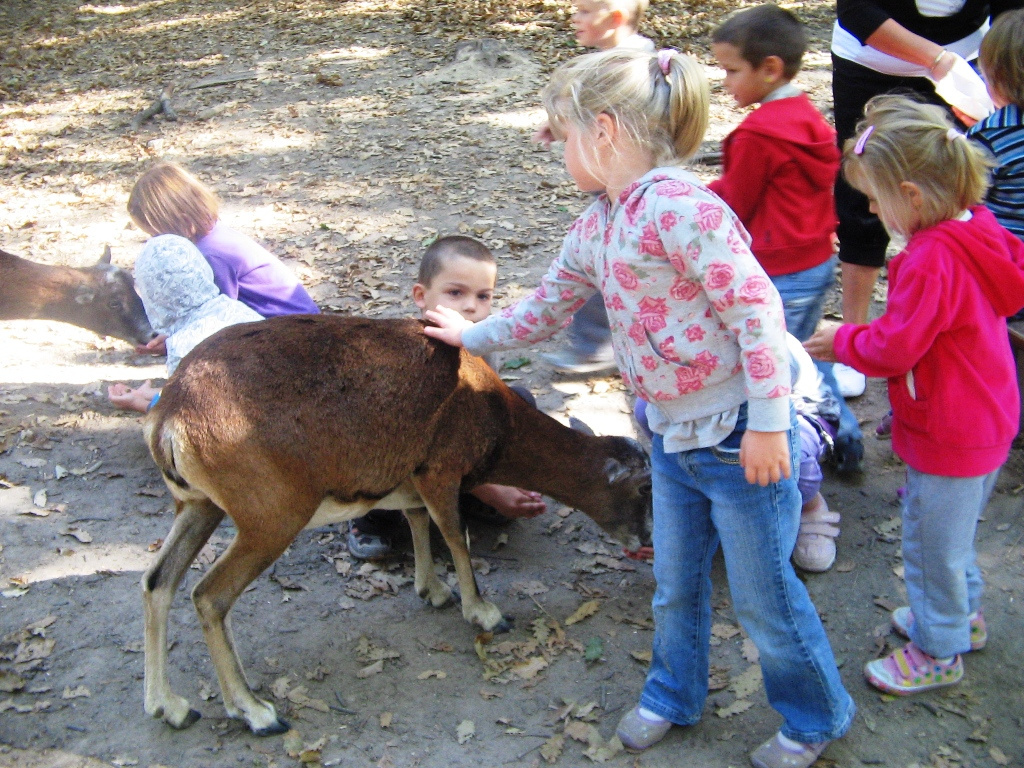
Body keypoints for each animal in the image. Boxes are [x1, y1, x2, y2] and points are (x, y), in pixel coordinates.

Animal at [140, 315, 651, 737]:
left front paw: (433, 590)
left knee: (157, 581)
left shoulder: (412, 479)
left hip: (199, 504)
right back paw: (255, 712)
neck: (496, 420)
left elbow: (418, 518)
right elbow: (456, 534)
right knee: (209, 595)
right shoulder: (442, 467)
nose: (646, 542)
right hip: (271, 513)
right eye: (645, 489)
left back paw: (172, 707)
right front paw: (484, 612)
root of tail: (168, 420)